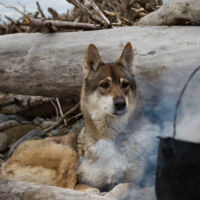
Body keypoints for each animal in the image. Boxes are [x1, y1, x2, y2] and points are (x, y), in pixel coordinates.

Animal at [0, 42, 148, 195]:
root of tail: (5, 165)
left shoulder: (138, 180)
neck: (113, 138)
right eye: (105, 85)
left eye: (125, 85)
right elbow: (96, 189)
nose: (121, 104)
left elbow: (124, 186)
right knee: (64, 188)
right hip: (69, 153)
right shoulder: (83, 181)